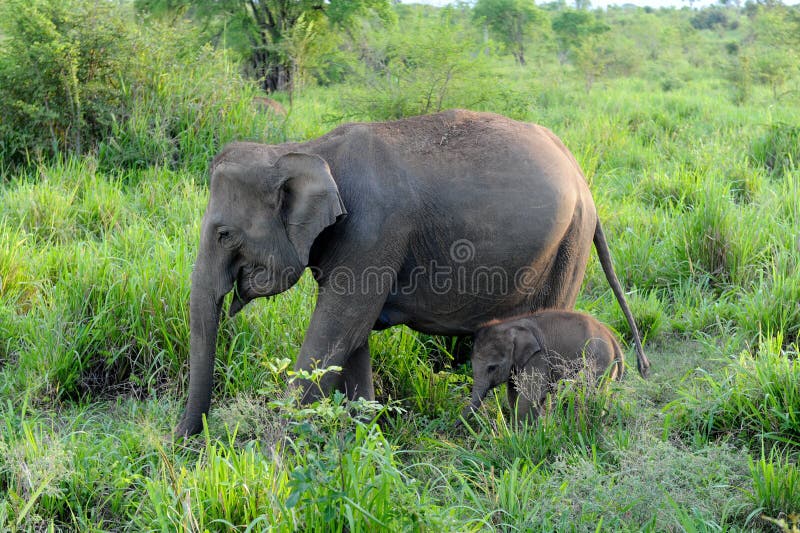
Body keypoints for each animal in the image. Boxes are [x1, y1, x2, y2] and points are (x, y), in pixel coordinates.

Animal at [462, 308, 624, 424]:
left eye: (492, 368)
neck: (510, 323)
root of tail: (613, 339)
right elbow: (513, 394)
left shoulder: (538, 358)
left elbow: (529, 396)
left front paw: (523, 433)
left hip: (599, 363)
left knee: (591, 394)